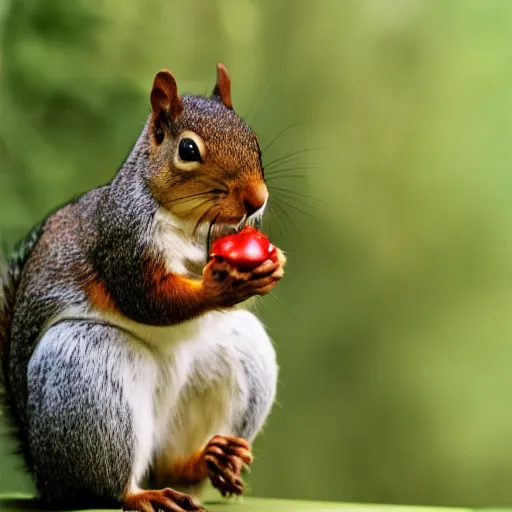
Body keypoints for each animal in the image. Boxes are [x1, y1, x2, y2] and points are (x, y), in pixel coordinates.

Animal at [0, 64, 286, 512]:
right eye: (188, 150)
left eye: (252, 137)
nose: (257, 199)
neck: (188, 222)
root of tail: (47, 482)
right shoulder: (123, 242)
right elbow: (149, 299)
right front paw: (217, 287)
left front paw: (272, 264)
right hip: (88, 371)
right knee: (108, 486)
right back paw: (142, 493)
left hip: (239, 352)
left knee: (175, 468)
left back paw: (212, 459)